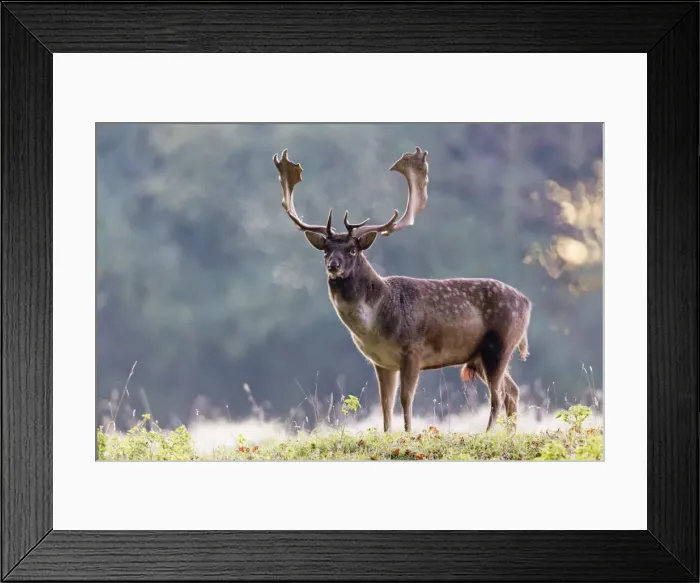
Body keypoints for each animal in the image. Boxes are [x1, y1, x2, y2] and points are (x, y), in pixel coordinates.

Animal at [273, 147, 532, 434]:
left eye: (352, 250)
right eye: (326, 250)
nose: (334, 266)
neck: (375, 323)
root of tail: (527, 302)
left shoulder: (413, 351)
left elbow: (406, 399)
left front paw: (408, 433)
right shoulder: (381, 361)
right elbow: (385, 404)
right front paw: (388, 434)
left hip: (499, 344)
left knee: (499, 395)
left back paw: (486, 433)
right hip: (479, 356)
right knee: (513, 391)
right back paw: (509, 433)